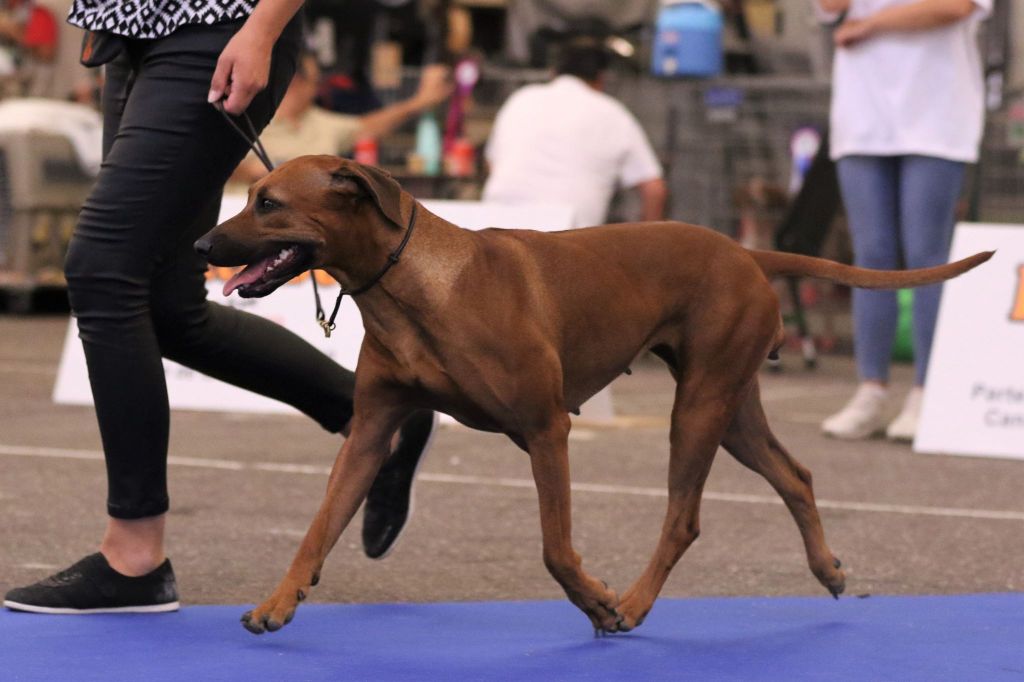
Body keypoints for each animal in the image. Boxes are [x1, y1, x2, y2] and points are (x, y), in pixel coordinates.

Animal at [195, 153, 987, 630]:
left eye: (268, 203)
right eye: (248, 197)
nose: (201, 246)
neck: (415, 286)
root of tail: (742, 248)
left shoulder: (547, 428)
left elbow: (555, 549)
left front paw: (597, 601)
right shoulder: (368, 430)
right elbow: (319, 525)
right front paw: (279, 601)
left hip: (699, 406)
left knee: (683, 519)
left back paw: (632, 603)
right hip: (731, 407)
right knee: (796, 475)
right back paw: (826, 570)